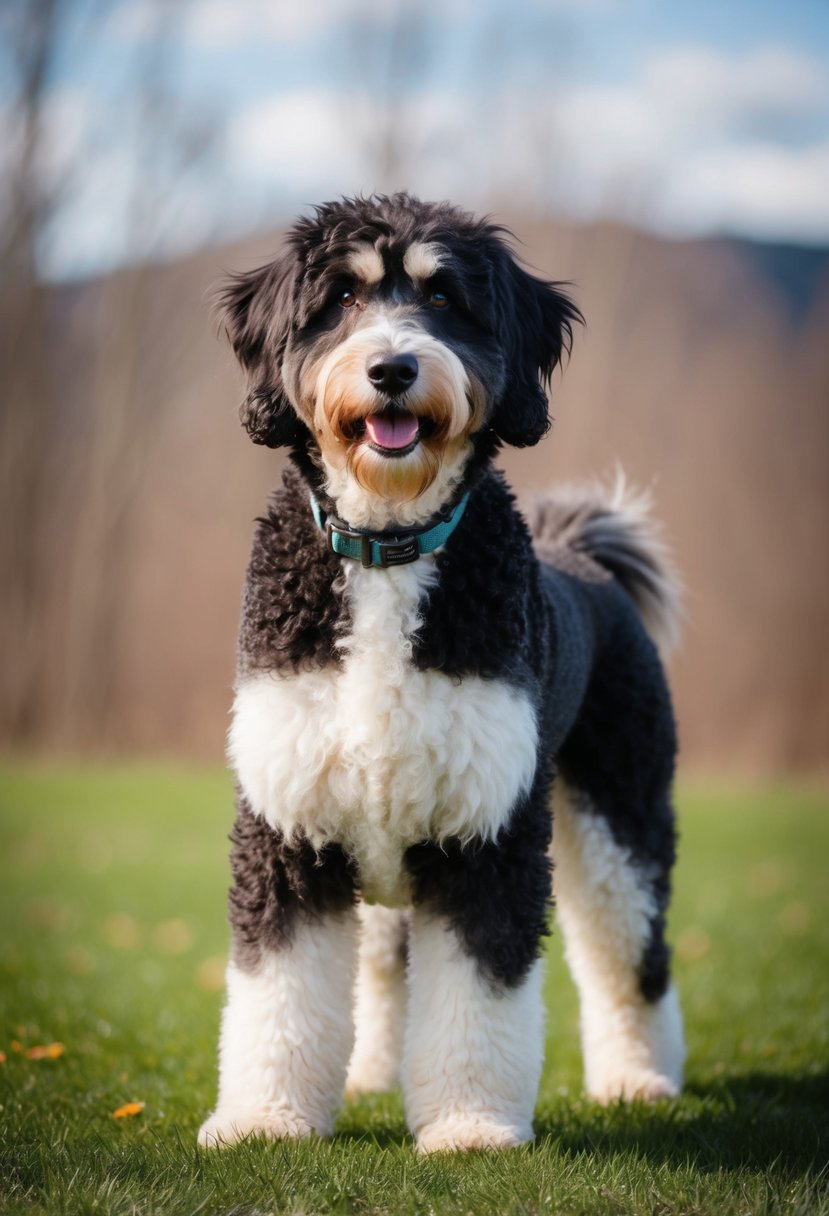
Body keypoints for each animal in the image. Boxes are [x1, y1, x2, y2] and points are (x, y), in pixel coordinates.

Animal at [196, 194, 680, 1152]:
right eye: (341, 297)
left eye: (446, 299)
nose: (391, 367)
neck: (387, 550)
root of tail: (584, 555)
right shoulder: (289, 824)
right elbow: (280, 990)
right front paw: (267, 1117)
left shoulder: (486, 831)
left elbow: (476, 996)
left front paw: (467, 1124)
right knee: (387, 967)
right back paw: (373, 1076)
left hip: (621, 814)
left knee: (629, 958)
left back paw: (638, 1080)